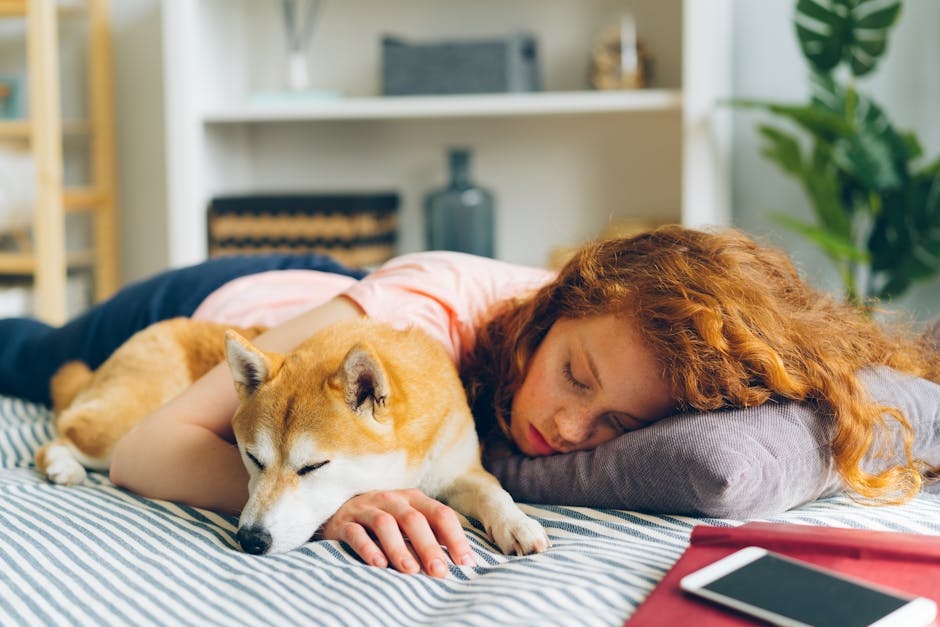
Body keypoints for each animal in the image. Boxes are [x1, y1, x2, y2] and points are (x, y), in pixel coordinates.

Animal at [35, 318, 552, 560]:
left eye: (313, 466)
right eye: (252, 458)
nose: (250, 540)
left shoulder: (461, 470)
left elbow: (494, 492)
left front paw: (518, 524)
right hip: (122, 426)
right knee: (64, 431)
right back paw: (63, 464)